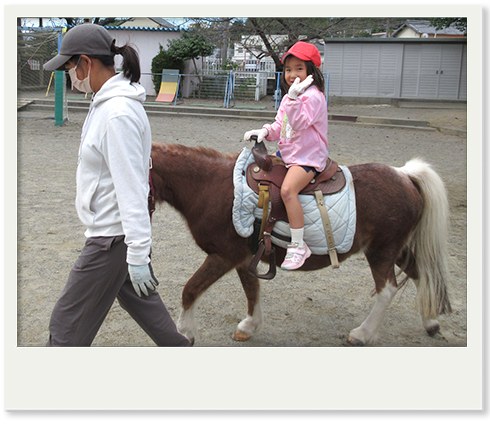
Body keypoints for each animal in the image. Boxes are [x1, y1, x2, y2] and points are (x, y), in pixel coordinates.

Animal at [150, 142, 452, 346]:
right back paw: (431, 322)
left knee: (387, 290)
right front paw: (249, 326)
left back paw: (362, 334)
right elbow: (252, 290)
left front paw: (185, 332)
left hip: (382, 251)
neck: (213, 187)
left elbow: (190, 290)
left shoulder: (223, 255)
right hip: (396, 249)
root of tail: (405, 175)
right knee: (420, 273)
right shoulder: (244, 258)